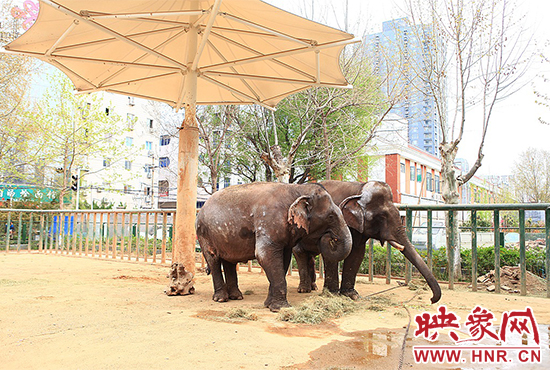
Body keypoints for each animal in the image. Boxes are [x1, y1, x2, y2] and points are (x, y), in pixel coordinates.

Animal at [197, 182, 354, 312]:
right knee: (213, 259)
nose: (331, 237)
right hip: (204, 233)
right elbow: (264, 255)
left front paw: (268, 305)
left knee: (229, 261)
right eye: (331, 217)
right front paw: (280, 308)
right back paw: (221, 299)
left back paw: (236, 297)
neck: (297, 189)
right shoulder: (268, 222)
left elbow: (284, 259)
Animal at [294, 179, 444, 304]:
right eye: (382, 217)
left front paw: (352, 295)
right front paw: (332, 295)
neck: (359, 190)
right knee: (299, 251)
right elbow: (331, 253)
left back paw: (313, 287)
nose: (431, 299)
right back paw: (304, 289)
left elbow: (357, 253)